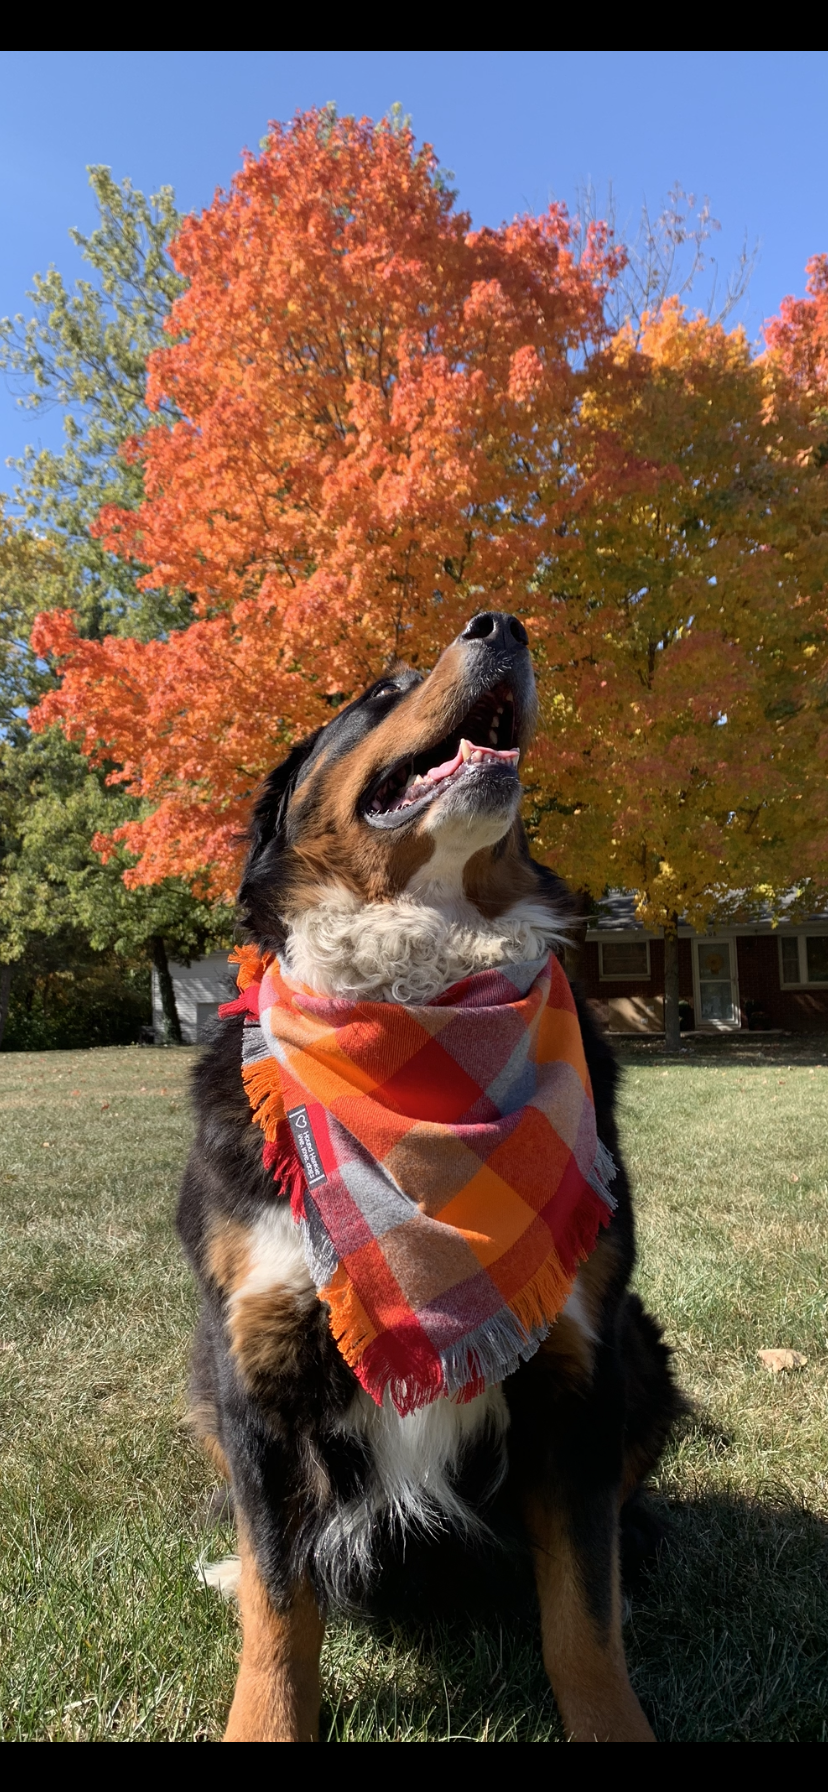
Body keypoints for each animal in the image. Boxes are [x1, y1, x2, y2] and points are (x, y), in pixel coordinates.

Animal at [179, 609, 677, 1741]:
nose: (503, 622)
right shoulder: (254, 1361)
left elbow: (581, 1613)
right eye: (378, 691)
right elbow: (280, 1604)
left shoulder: (577, 1360)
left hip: (645, 1354)